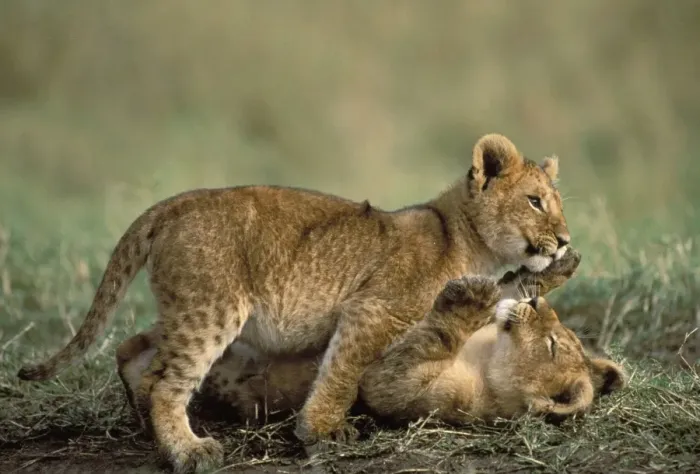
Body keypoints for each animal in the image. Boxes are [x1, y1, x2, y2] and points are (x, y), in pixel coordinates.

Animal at [17, 133, 571, 473]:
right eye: (535, 201)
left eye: (557, 203)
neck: (467, 240)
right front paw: (321, 431)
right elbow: (343, 371)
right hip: (212, 308)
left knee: (133, 352)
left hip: (183, 311)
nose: (565, 240)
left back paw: (146, 428)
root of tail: (176, 202)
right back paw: (189, 451)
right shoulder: (373, 310)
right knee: (165, 381)